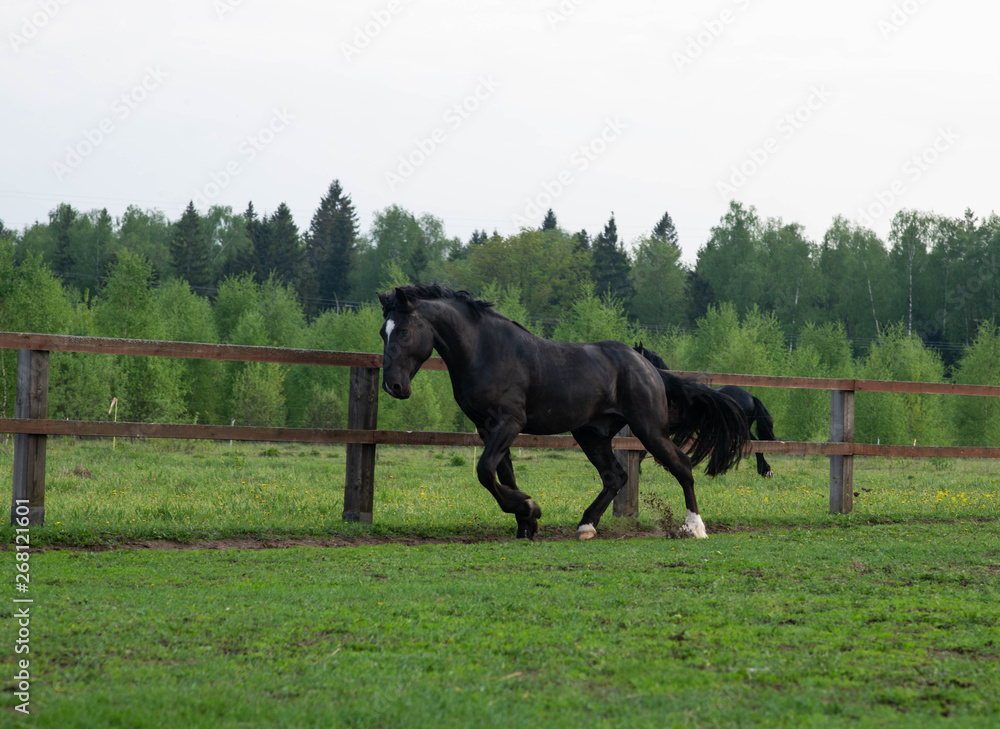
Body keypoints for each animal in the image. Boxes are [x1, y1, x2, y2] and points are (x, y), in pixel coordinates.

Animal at [378, 284, 750, 540]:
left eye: (405, 331)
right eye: (383, 332)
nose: (394, 386)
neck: (485, 350)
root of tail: (648, 367)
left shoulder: (509, 422)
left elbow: (485, 471)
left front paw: (530, 509)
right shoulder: (488, 428)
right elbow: (503, 474)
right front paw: (526, 523)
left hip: (649, 429)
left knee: (682, 467)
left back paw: (694, 527)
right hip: (591, 434)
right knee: (615, 476)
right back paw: (586, 526)